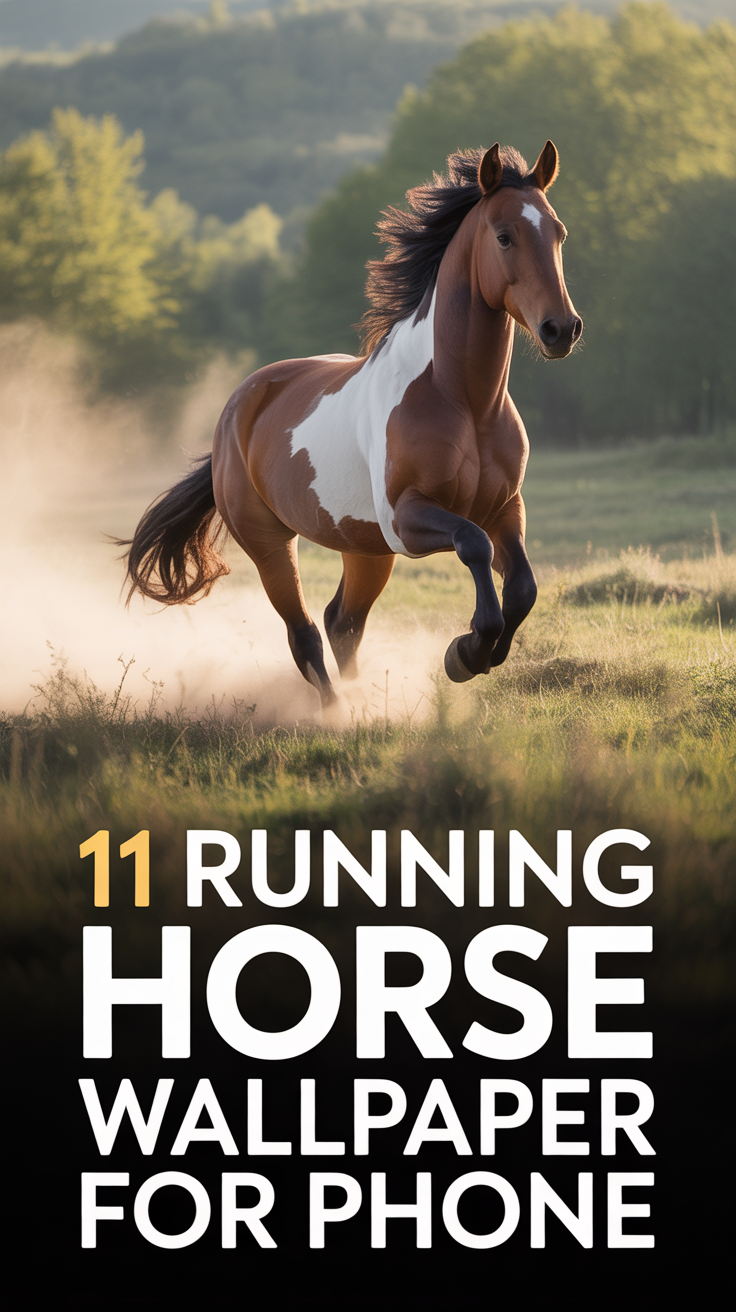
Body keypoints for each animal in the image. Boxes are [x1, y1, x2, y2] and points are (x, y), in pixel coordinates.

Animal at [121, 140, 582, 707]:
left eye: (558, 232)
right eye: (504, 236)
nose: (561, 328)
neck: (464, 401)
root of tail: (236, 408)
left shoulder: (503, 507)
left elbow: (522, 587)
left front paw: (476, 653)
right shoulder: (407, 517)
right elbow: (474, 545)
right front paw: (465, 651)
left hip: (363, 549)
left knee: (342, 623)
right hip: (272, 544)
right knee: (305, 634)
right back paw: (337, 712)